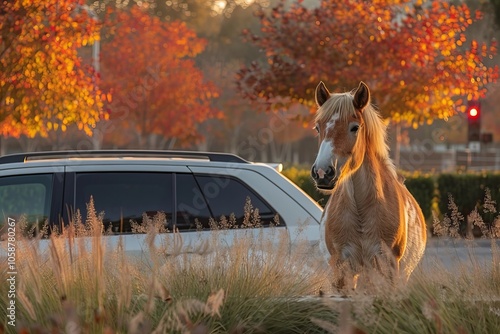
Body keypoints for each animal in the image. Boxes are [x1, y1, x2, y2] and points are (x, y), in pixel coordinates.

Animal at [312, 81, 426, 290]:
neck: (360, 210)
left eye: (355, 127)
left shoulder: (387, 268)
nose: (322, 173)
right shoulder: (341, 270)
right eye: (317, 127)